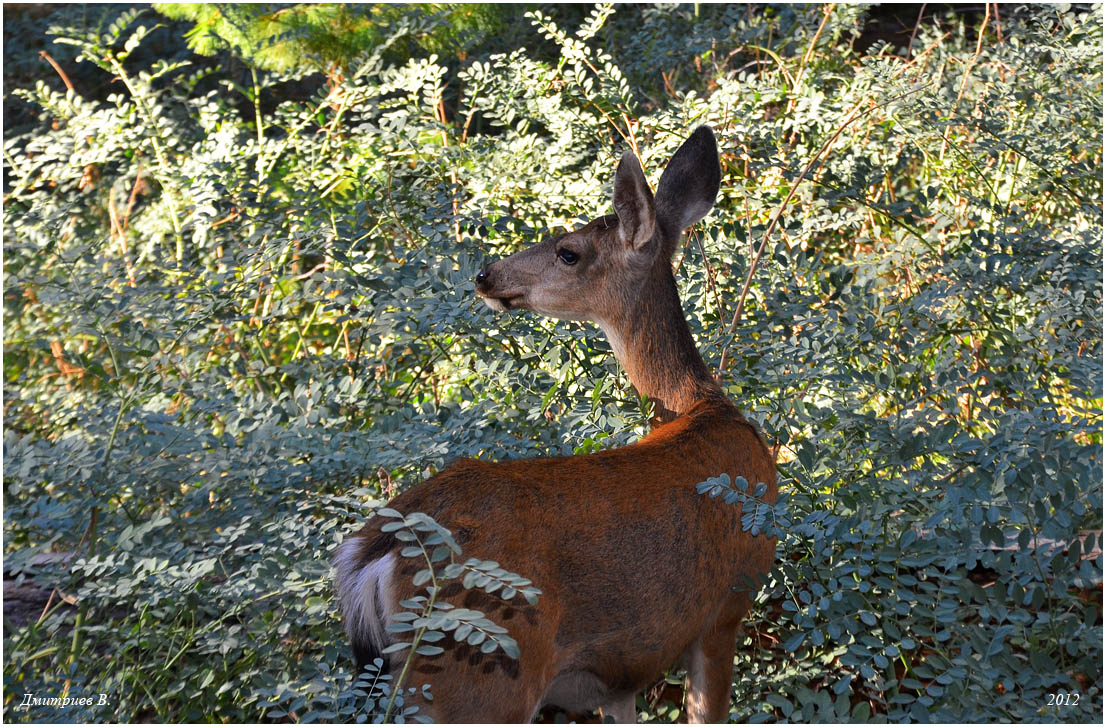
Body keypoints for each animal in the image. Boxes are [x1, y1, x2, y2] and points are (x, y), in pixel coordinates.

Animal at [334, 127, 778, 721]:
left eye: (568, 251)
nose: (485, 275)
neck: (702, 406)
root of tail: (374, 551)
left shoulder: (619, 674)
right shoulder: (727, 605)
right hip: (481, 679)